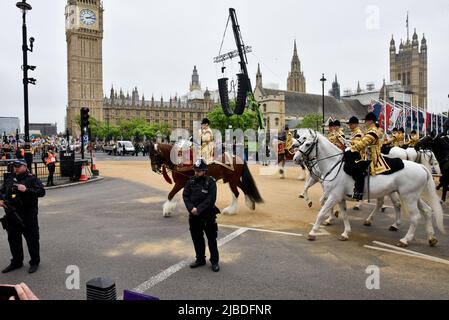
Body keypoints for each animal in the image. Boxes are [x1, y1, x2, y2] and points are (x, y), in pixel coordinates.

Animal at [298, 130, 444, 248]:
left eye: (307, 144)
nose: (296, 157)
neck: (334, 165)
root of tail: (420, 166)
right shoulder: (339, 198)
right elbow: (344, 215)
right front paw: (345, 233)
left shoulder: (333, 196)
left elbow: (321, 212)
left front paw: (313, 232)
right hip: (413, 197)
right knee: (427, 211)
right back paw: (431, 238)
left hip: (409, 197)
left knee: (415, 217)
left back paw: (405, 240)